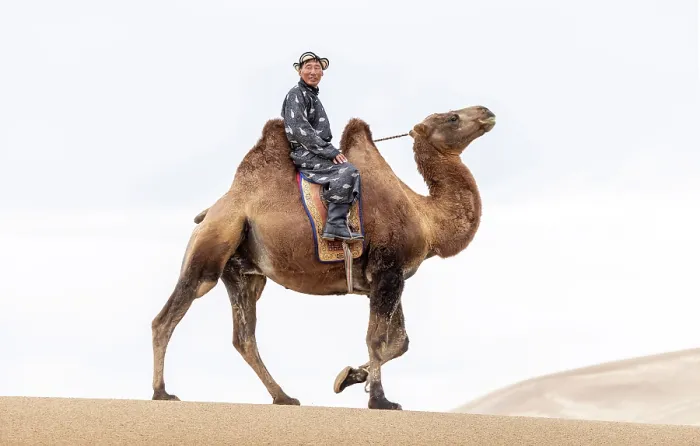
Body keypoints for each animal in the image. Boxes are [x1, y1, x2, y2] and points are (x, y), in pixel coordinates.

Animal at [151, 105, 496, 410]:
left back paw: (284, 397)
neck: (425, 217)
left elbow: (399, 341)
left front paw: (348, 377)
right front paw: (380, 400)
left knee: (244, 336)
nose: (486, 112)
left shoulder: (389, 277)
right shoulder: (387, 270)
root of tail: (211, 211)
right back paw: (161, 393)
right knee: (167, 317)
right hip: (212, 246)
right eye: (452, 117)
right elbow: (377, 339)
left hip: (243, 273)